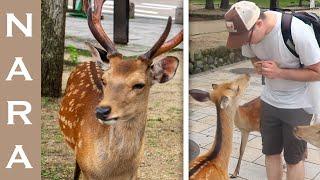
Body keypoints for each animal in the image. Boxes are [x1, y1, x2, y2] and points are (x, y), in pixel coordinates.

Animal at [57, 0, 182, 179]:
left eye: (139, 84)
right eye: (104, 80)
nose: (101, 111)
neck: (113, 172)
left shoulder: (135, 173)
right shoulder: (87, 171)